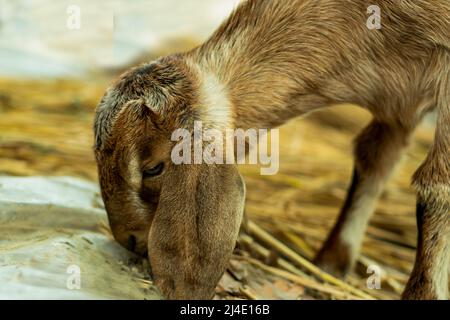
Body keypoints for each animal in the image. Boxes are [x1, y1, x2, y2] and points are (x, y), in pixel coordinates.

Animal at [94, 0, 450, 300]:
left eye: (153, 169)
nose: (128, 239)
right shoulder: (399, 102)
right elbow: (374, 158)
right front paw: (330, 264)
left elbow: (437, 186)